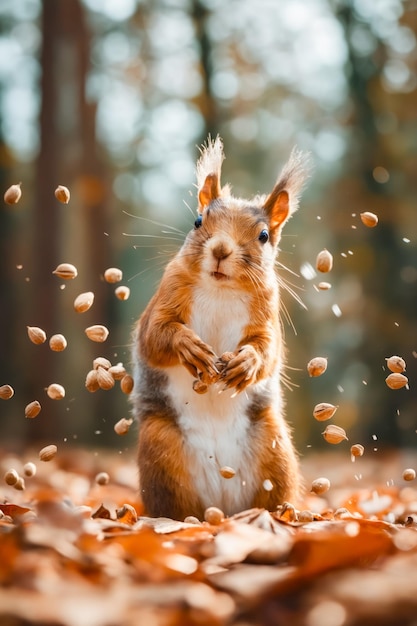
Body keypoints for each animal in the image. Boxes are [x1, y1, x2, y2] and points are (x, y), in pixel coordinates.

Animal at [132, 138, 310, 520]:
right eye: (198, 220)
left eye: (264, 236)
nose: (221, 250)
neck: (220, 288)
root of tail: (223, 507)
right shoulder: (164, 299)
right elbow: (155, 335)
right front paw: (188, 347)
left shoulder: (267, 314)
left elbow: (268, 349)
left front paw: (248, 363)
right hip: (161, 452)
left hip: (275, 449)